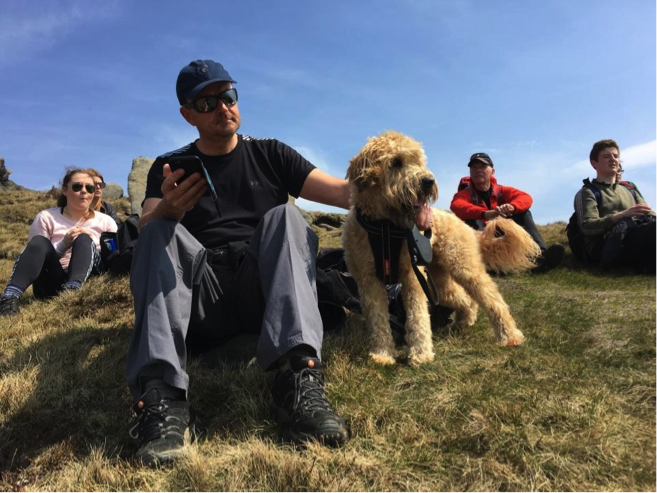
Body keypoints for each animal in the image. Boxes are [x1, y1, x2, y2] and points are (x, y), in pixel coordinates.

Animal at [344, 131, 540, 366]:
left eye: (419, 161)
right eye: (396, 162)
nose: (428, 181)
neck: (385, 226)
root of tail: (463, 223)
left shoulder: (412, 277)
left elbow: (417, 316)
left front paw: (420, 354)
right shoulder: (368, 281)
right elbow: (377, 320)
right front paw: (382, 355)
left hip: (465, 268)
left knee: (492, 299)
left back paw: (509, 336)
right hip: (438, 280)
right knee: (464, 299)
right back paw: (464, 322)